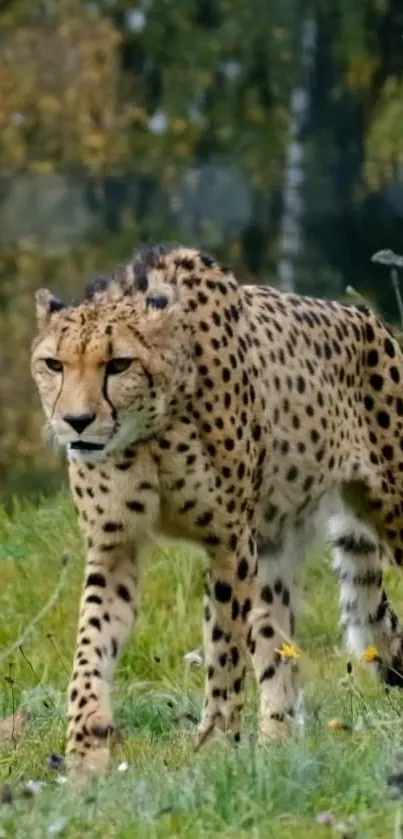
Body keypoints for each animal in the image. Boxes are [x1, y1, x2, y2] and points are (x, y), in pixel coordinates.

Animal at [32, 246, 403, 776]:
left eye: (119, 364)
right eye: (53, 364)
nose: (76, 421)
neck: (150, 429)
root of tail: (370, 318)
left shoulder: (230, 543)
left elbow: (225, 649)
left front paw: (215, 748)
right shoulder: (114, 545)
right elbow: (91, 648)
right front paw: (85, 753)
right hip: (271, 553)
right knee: (279, 650)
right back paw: (277, 749)